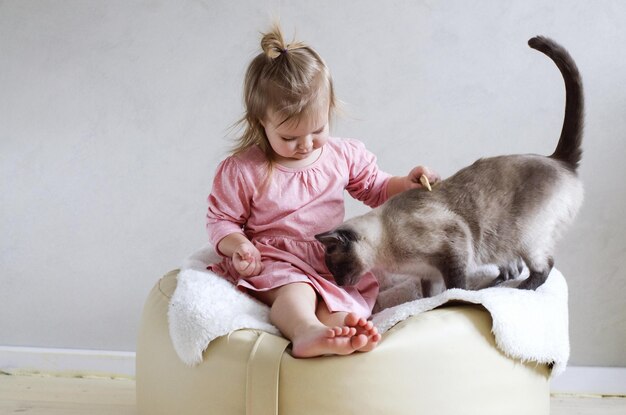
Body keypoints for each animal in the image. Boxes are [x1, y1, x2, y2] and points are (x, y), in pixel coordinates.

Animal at [314, 38, 584, 292]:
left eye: (337, 267)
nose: (339, 284)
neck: (389, 253)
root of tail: (558, 159)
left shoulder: (453, 248)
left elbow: (455, 287)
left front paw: (459, 297)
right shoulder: (428, 274)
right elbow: (429, 297)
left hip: (525, 238)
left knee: (544, 266)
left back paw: (520, 289)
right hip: (503, 244)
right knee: (515, 267)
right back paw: (494, 285)